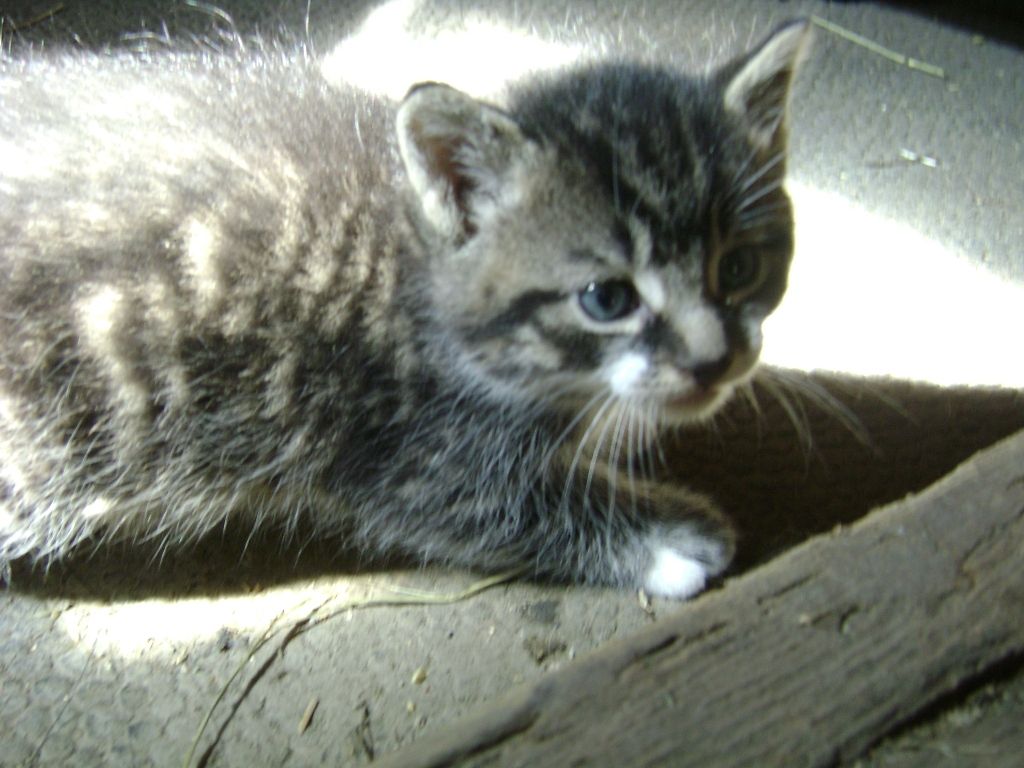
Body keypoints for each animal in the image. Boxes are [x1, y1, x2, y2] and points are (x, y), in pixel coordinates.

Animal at [0, 20, 810, 598]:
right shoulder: (407, 450)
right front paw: (667, 538)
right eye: (607, 299)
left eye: (740, 267)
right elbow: (499, 509)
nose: (716, 360)